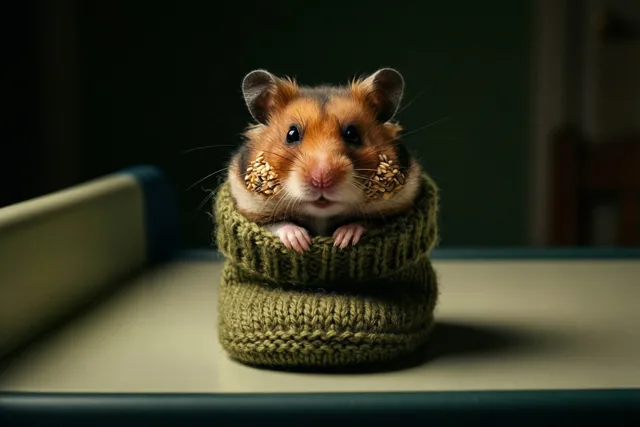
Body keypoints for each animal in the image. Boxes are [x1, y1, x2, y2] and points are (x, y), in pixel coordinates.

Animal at [227, 68, 423, 253]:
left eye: (352, 134)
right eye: (292, 134)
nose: (322, 179)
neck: (321, 217)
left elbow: (365, 223)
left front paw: (343, 239)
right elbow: (278, 224)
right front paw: (300, 242)